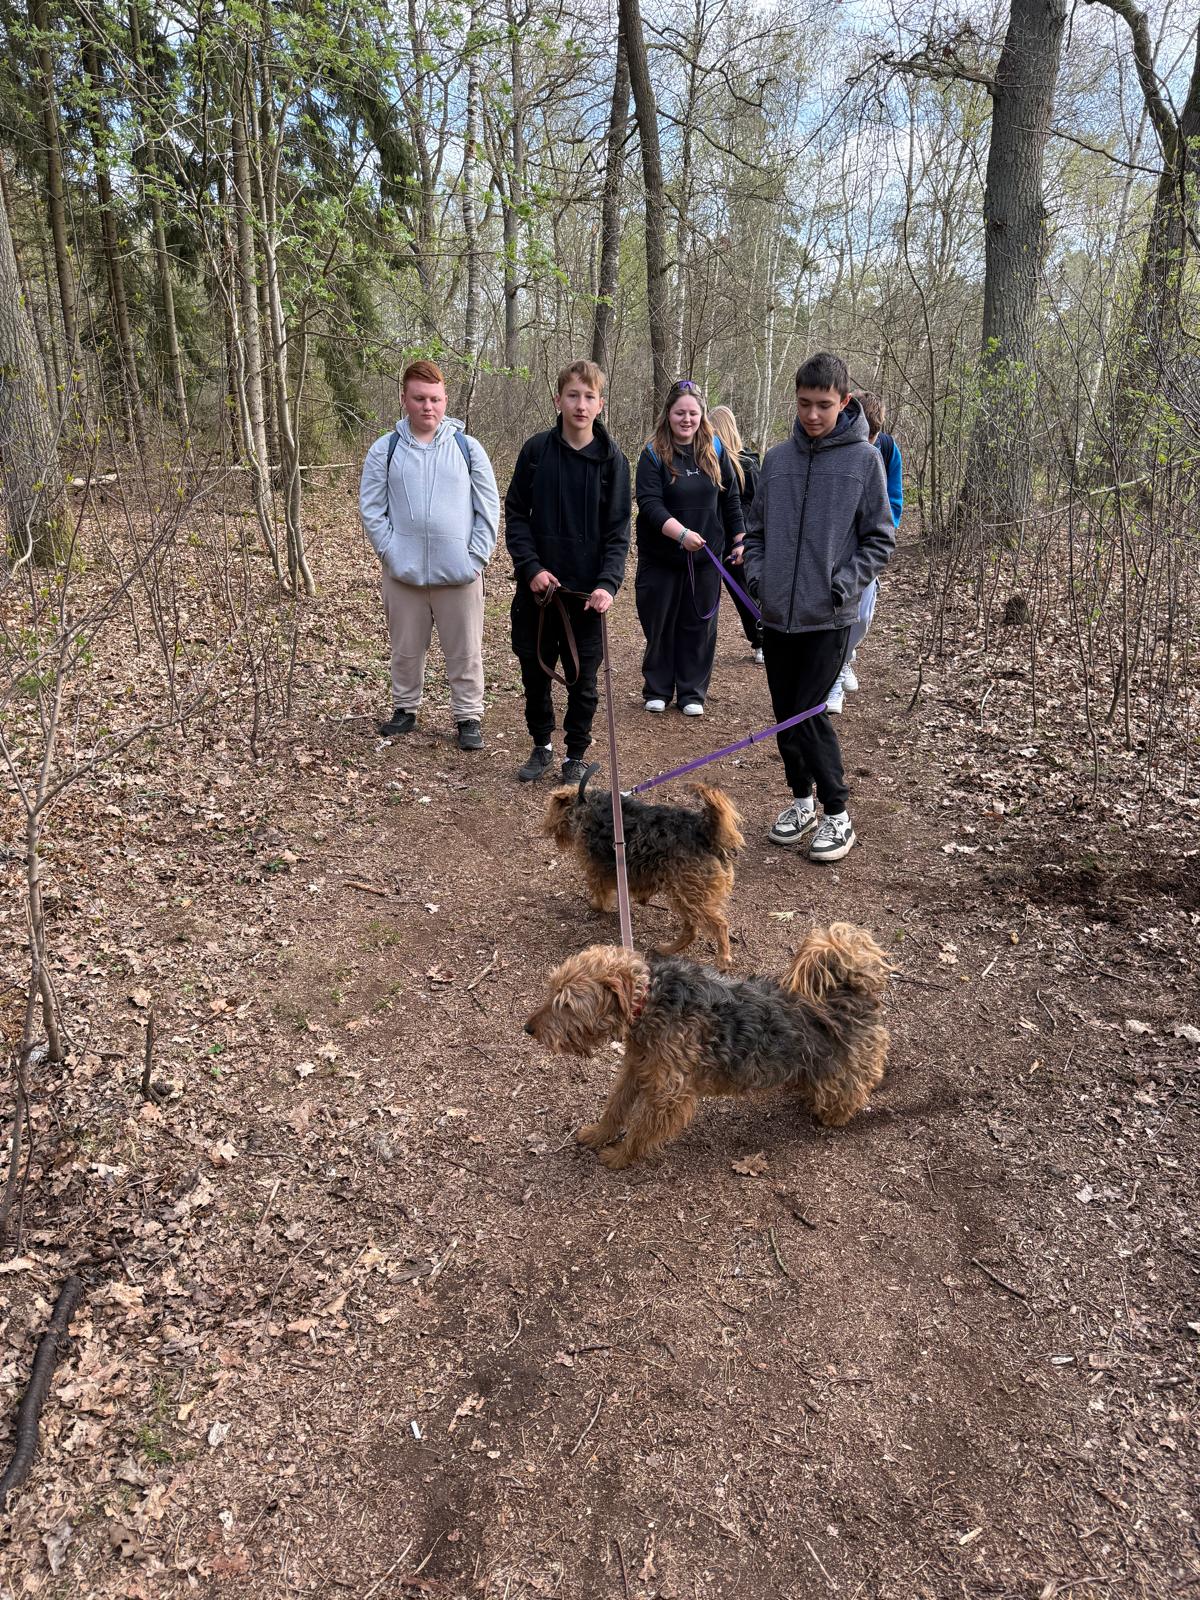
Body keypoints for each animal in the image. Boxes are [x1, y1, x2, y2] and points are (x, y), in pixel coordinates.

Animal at [523, 924, 893, 1169]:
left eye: (567, 1004)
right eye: (552, 989)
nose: (528, 1029)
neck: (649, 1002)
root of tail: (853, 992)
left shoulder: (669, 1093)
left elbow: (641, 1130)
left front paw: (620, 1156)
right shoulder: (637, 1068)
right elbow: (615, 1108)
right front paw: (599, 1134)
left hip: (845, 1065)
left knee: (855, 1086)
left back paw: (835, 1115)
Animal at [541, 777, 743, 968]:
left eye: (551, 807)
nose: (545, 828)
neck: (585, 805)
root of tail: (705, 833)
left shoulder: (595, 869)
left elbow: (600, 893)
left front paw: (597, 906)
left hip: (691, 894)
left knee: (720, 925)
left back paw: (723, 959)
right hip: (687, 895)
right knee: (691, 931)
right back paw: (666, 949)